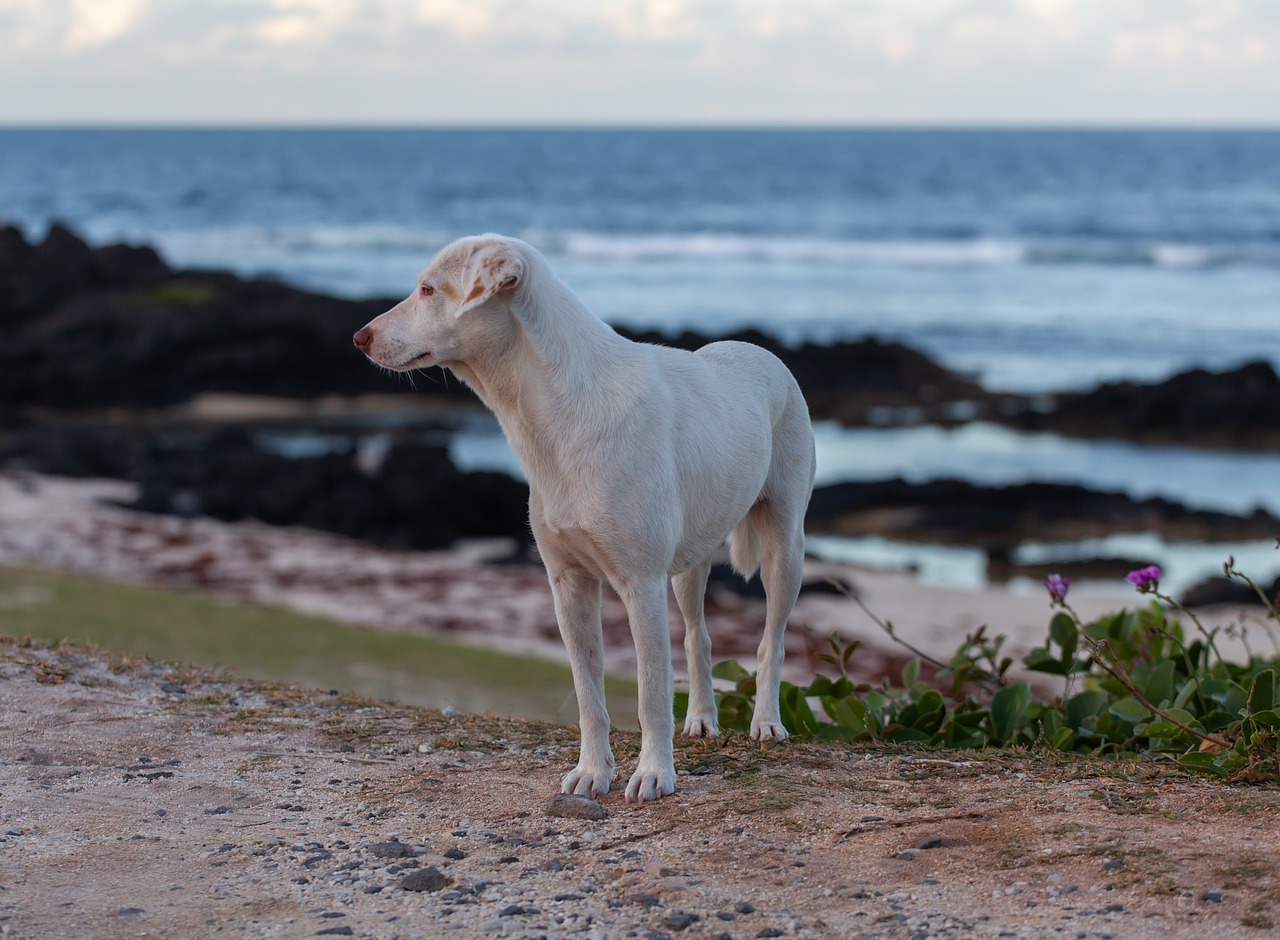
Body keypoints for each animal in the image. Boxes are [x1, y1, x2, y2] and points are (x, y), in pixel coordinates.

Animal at [353, 235, 808, 804]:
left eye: (429, 290)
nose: (359, 338)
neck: (557, 408)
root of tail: (758, 350)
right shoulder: (568, 583)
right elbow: (588, 693)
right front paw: (592, 773)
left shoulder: (640, 584)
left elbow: (651, 693)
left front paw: (654, 774)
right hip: (689, 564)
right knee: (698, 636)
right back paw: (702, 719)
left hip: (784, 548)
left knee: (773, 638)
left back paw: (766, 722)